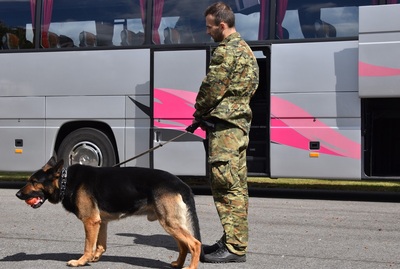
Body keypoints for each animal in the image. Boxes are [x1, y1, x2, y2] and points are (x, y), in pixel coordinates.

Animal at [16, 156, 203, 266]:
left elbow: (87, 245)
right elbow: (100, 245)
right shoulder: (100, 222)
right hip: (171, 223)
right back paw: (178, 263)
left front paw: (81, 261)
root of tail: (182, 184)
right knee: (184, 245)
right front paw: (94, 258)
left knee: (194, 244)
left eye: (33, 182)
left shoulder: (90, 222)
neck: (65, 181)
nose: (18, 194)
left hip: (170, 223)